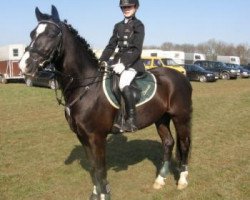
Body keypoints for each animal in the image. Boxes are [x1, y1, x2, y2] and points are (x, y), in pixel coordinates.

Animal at [18, 5, 192, 200]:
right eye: (32, 33)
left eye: (51, 34)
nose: (24, 65)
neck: (85, 87)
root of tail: (180, 76)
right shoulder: (83, 136)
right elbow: (93, 167)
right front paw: (96, 193)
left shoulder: (97, 137)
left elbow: (101, 169)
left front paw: (104, 195)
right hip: (161, 118)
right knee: (168, 143)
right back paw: (160, 180)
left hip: (180, 117)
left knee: (184, 144)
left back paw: (182, 181)